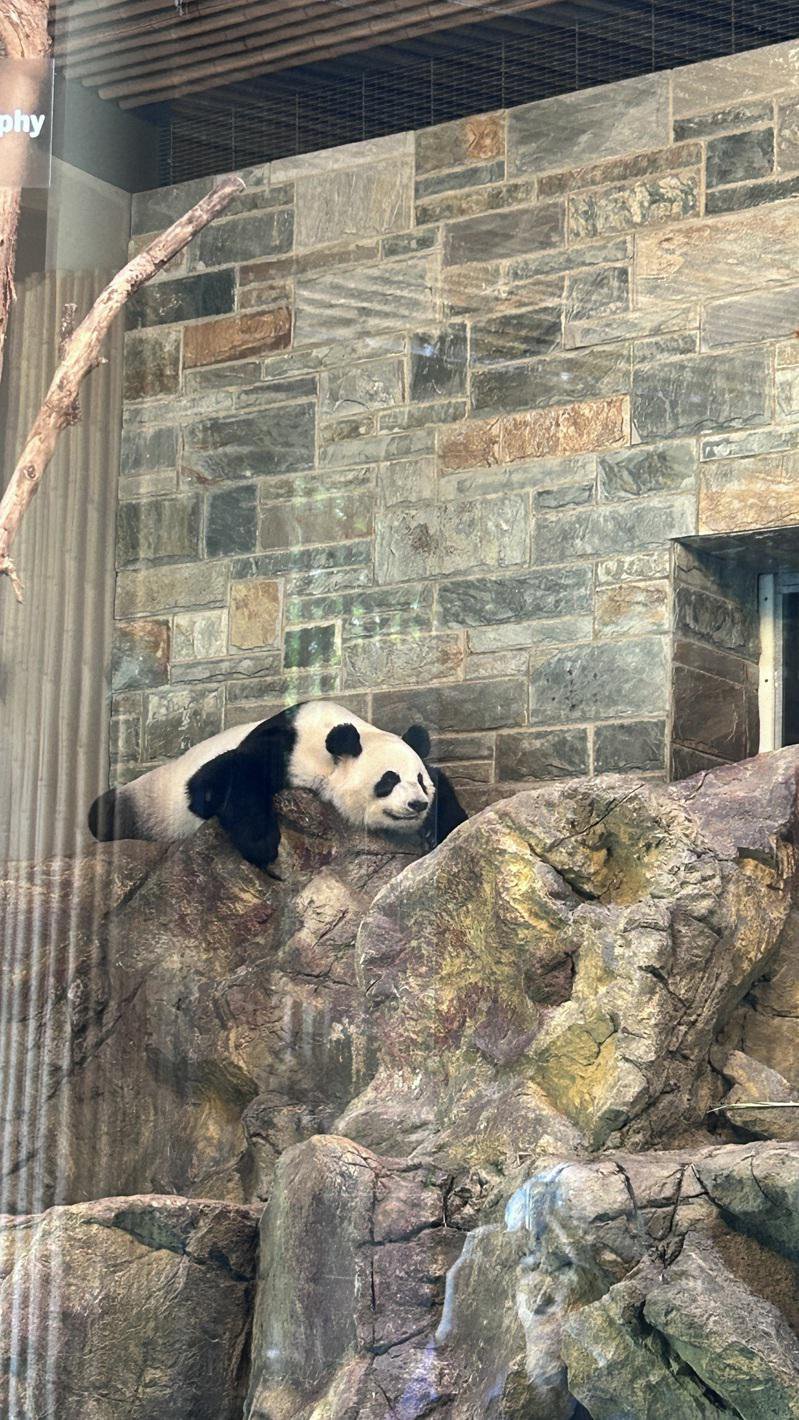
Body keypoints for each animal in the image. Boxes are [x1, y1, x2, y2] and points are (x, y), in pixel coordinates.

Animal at [89, 695, 468, 869]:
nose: (417, 804)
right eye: (388, 780)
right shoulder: (285, 745)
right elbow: (217, 782)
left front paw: (443, 828)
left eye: (419, 780)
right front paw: (262, 844)